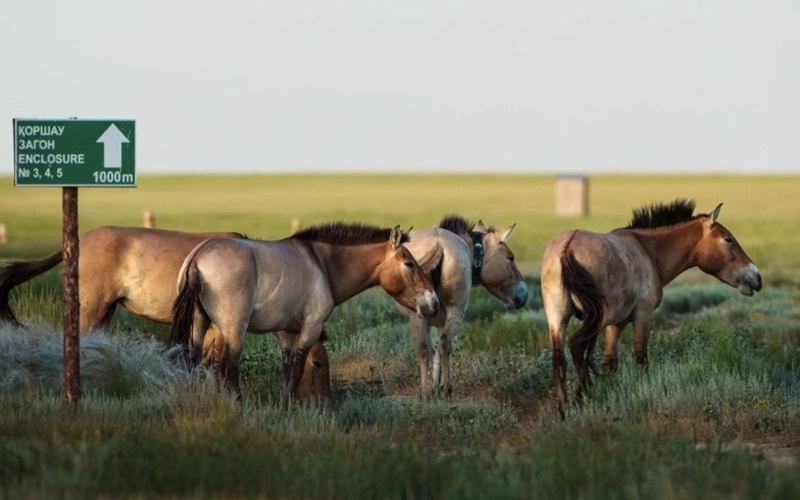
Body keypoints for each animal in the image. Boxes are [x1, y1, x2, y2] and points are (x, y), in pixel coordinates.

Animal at [0, 226, 334, 400]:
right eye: (318, 364)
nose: (325, 402)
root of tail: (78, 241)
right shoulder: (218, 327)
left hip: (104, 312)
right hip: (91, 310)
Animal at [170, 222, 440, 404]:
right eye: (410, 264)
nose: (434, 303)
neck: (323, 265)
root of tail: (198, 258)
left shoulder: (288, 334)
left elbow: (287, 371)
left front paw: (284, 404)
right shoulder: (310, 328)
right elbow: (297, 370)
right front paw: (289, 406)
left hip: (199, 325)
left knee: (194, 362)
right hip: (234, 330)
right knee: (228, 368)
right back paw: (237, 403)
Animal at [395, 215, 528, 396]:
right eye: (510, 257)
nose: (524, 295)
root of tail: (438, 245)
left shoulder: (433, 322)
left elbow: (432, 352)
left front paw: (434, 387)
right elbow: (438, 351)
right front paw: (439, 387)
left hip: (418, 318)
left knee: (424, 350)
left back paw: (425, 393)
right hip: (456, 313)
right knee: (444, 344)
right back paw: (447, 387)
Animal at [541, 199, 762, 418]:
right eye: (728, 239)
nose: (757, 277)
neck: (648, 251)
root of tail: (567, 248)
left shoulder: (616, 324)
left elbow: (610, 363)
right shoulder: (643, 317)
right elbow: (641, 358)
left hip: (558, 318)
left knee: (559, 359)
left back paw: (564, 410)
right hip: (596, 318)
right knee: (577, 346)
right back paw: (584, 396)